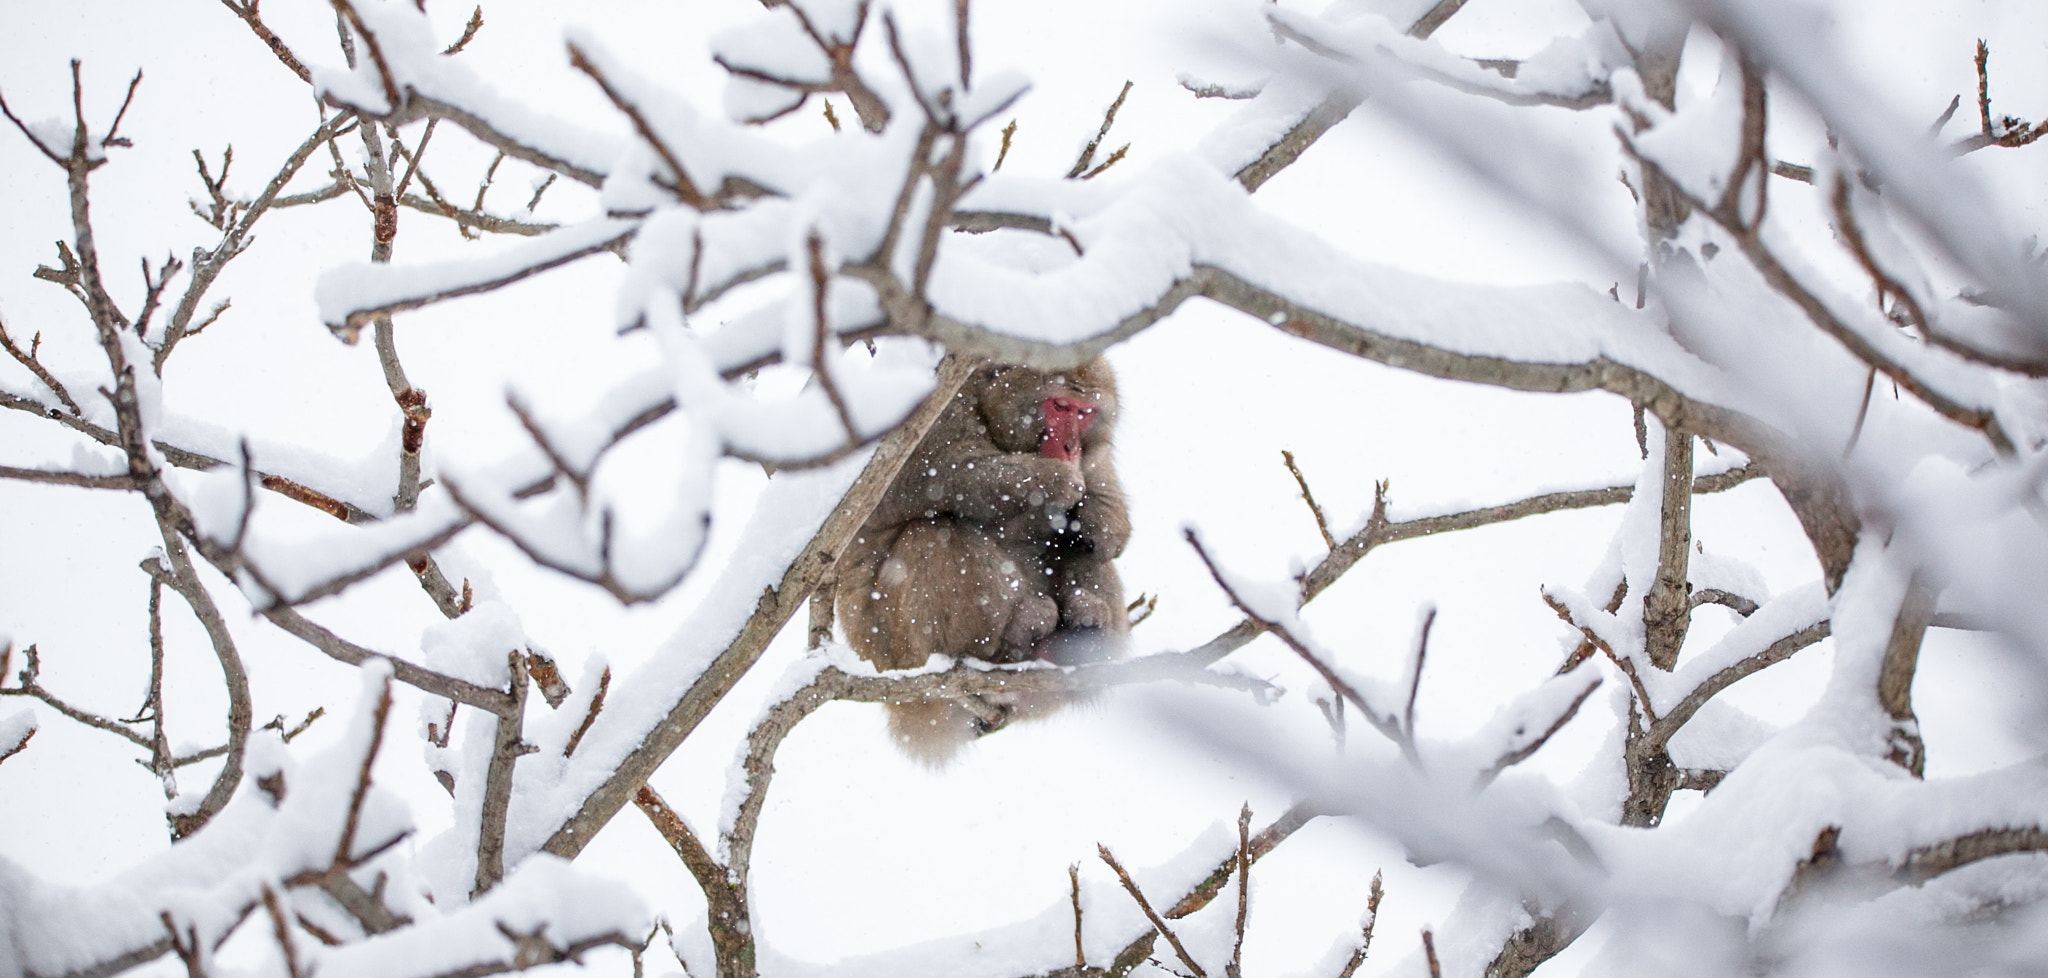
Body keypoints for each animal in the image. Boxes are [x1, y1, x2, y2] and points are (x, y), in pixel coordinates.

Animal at [835, 358, 1128, 763]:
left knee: (1085, 551)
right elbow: (931, 475)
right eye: (1059, 406)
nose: (1070, 448)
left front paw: (1095, 519)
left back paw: (1087, 630)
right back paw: (1014, 638)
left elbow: (1107, 518)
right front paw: (1052, 481)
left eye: (1084, 413)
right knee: (931, 534)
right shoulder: (934, 410)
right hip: (896, 647)